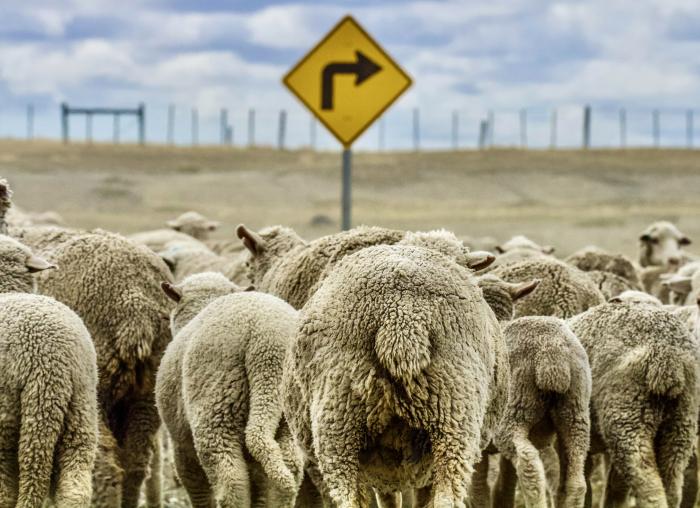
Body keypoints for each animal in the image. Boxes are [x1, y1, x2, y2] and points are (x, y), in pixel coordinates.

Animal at [156, 272, 303, 507]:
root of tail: (268, 341)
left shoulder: (181, 446)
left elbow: (197, 489)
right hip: (284, 416)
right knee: (289, 467)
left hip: (217, 408)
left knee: (232, 483)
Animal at [568, 301, 700, 508]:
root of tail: (668, 356)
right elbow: (613, 487)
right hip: (681, 424)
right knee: (671, 484)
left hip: (627, 419)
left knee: (649, 485)